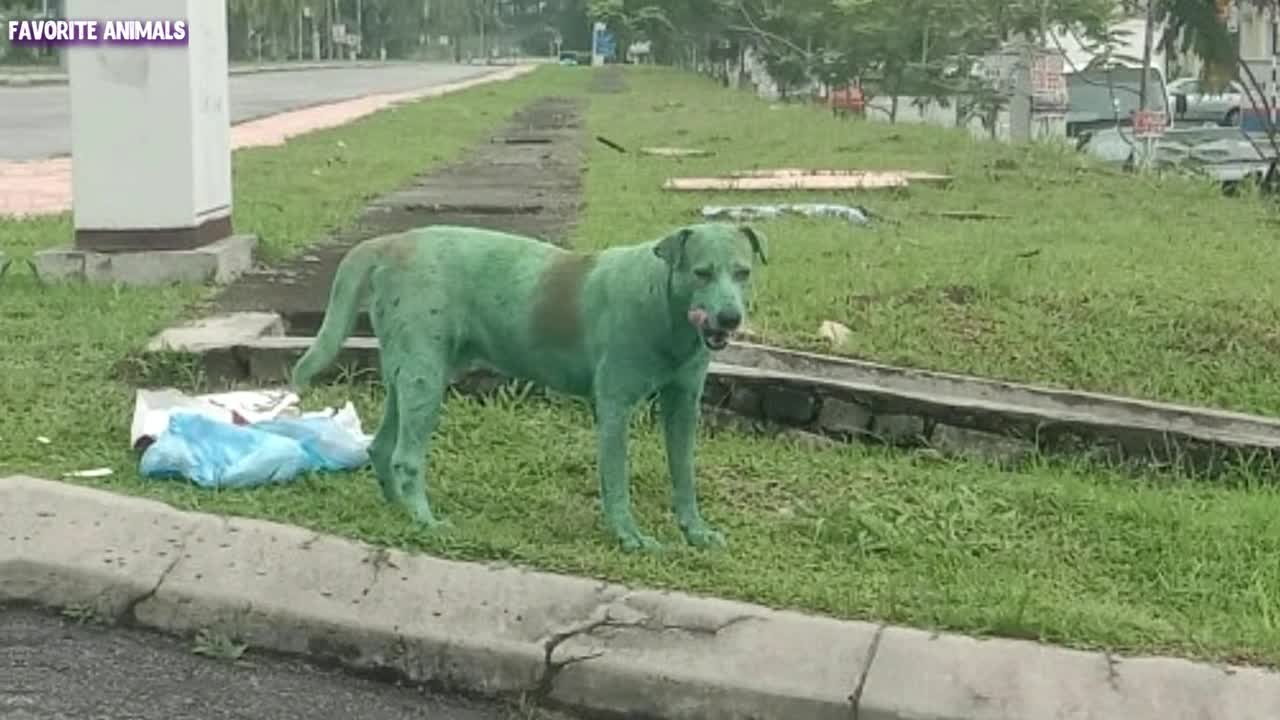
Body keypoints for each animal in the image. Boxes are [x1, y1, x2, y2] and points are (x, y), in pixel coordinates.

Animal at [293, 221, 757, 545]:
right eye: (701, 273)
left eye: (743, 272)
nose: (731, 318)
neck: (663, 300)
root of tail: (393, 242)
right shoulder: (614, 409)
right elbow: (616, 480)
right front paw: (630, 537)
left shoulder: (684, 405)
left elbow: (684, 474)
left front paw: (695, 532)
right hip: (425, 378)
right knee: (406, 457)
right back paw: (425, 520)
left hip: (409, 376)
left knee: (382, 446)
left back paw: (399, 511)